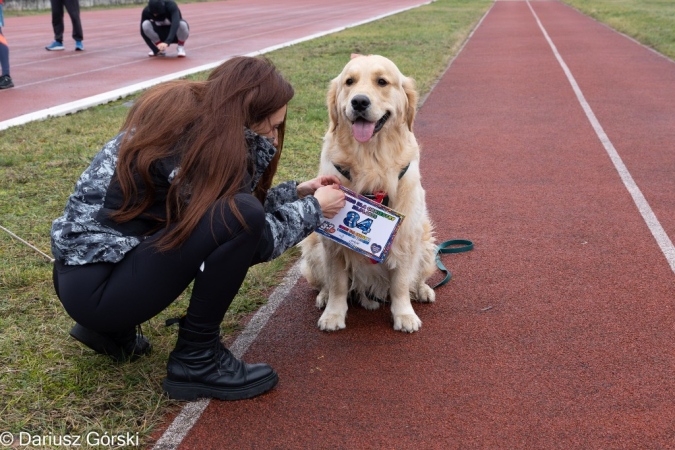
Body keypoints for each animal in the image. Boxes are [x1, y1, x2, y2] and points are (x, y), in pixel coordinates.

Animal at [302, 54, 438, 332]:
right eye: (349, 82)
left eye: (382, 82)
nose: (359, 101)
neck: (370, 159)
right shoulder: (333, 243)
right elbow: (337, 283)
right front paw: (334, 314)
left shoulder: (405, 235)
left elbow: (400, 284)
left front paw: (404, 314)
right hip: (312, 245)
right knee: (324, 282)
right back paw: (323, 297)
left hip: (426, 242)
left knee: (416, 278)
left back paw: (422, 290)